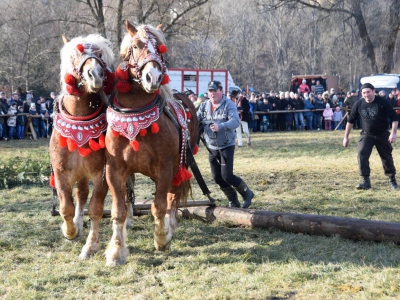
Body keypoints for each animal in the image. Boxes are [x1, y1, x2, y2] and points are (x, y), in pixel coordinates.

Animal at [104, 21, 198, 264]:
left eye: (160, 48)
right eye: (136, 46)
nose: (153, 77)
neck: (135, 114)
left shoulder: (164, 167)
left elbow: (160, 205)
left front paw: (162, 239)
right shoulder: (115, 169)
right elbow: (119, 209)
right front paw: (116, 250)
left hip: (180, 164)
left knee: (173, 197)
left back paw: (170, 228)